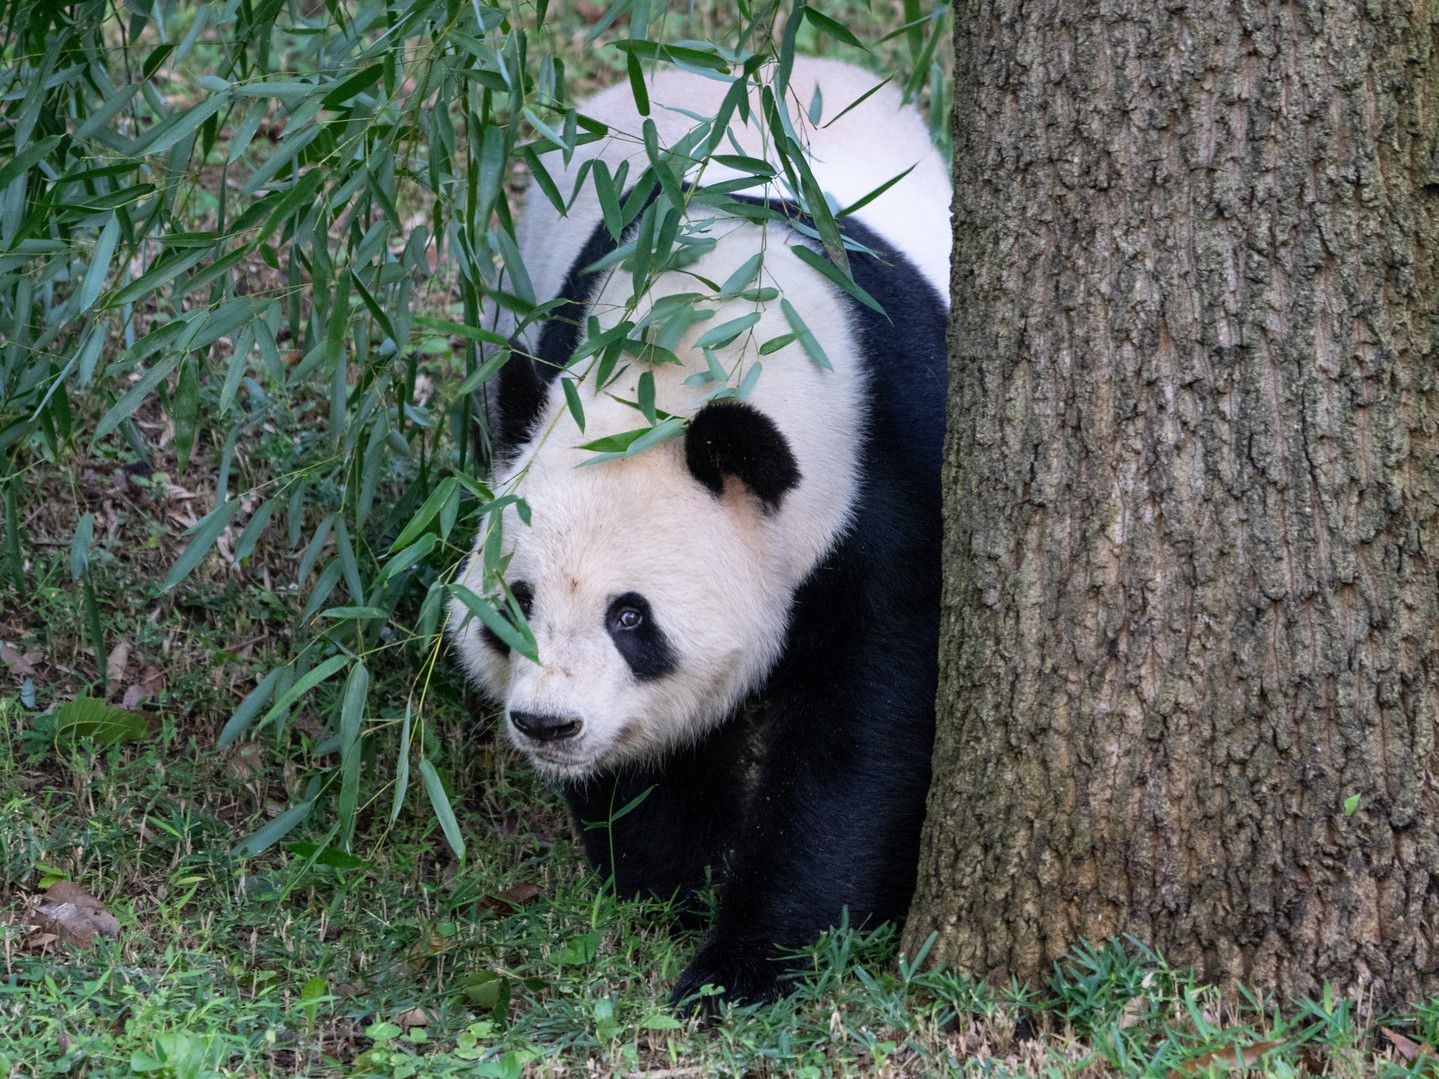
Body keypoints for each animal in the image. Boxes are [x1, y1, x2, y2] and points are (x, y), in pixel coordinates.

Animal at [443, 55, 949, 1012]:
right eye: (516, 601)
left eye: (629, 616)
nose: (546, 725)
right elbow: (648, 758)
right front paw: (669, 887)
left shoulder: (888, 474)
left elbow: (863, 731)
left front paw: (743, 963)